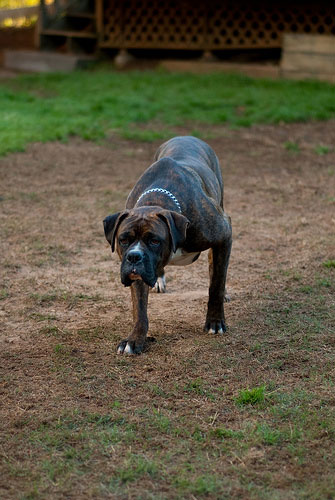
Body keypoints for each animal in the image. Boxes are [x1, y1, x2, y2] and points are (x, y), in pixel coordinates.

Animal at [103, 136, 232, 356]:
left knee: (215, 268)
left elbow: (215, 285)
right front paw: (135, 339)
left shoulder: (224, 235)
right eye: (124, 240)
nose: (134, 257)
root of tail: (187, 136)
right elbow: (139, 309)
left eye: (155, 241)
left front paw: (215, 321)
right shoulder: (139, 273)